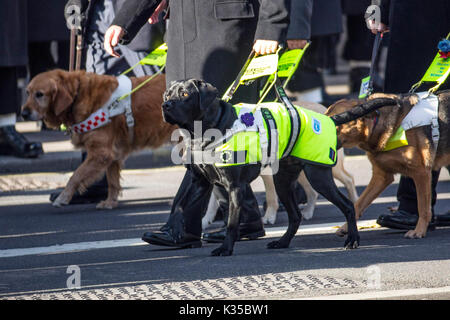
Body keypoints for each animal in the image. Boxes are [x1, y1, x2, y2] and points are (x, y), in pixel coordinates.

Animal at [21, 69, 176, 209]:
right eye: (27, 93)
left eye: (39, 94)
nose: (23, 114)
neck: (78, 95)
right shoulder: (113, 155)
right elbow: (112, 182)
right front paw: (110, 202)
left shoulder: (101, 153)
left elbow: (75, 175)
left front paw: (63, 197)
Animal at [326, 91, 450, 239]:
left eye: (336, 121)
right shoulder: (381, 177)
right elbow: (359, 203)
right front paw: (346, 227)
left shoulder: (421, 173)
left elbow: (423, 207)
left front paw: (419, 231)